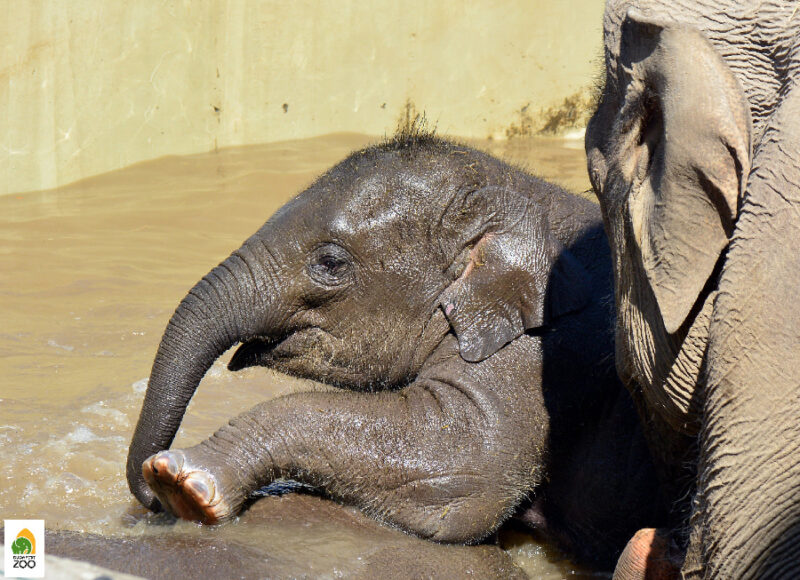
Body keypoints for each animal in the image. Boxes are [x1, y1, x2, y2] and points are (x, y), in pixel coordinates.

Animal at [126, 131, 666, 568]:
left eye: (330, 263)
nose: (146, 498)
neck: (518, 193)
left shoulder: (551, 348)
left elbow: (465, 454)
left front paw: (182, 482)